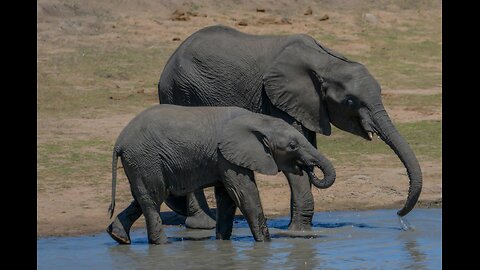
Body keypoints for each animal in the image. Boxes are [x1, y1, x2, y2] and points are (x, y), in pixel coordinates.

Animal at [107, 104, 336, 244]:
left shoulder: (223, 158)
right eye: (292, 146)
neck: (258, 120)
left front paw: (222, 243)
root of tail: (119, 142)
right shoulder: (226, 155)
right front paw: (265, 244)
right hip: (146, 159)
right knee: (154, 197)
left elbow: (227, 197)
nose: (310, 168)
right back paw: (162, 244)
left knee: (142, 197)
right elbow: (244, 194)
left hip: (140, 162)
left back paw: (119, 237)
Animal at [157, 24, 420, 230]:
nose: (398, 214)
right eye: (350, 101)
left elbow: (307, 147)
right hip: (182, 91)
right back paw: (203, 225)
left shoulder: (308, 106)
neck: (326, 62)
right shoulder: (278, 98)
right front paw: (299, 233)